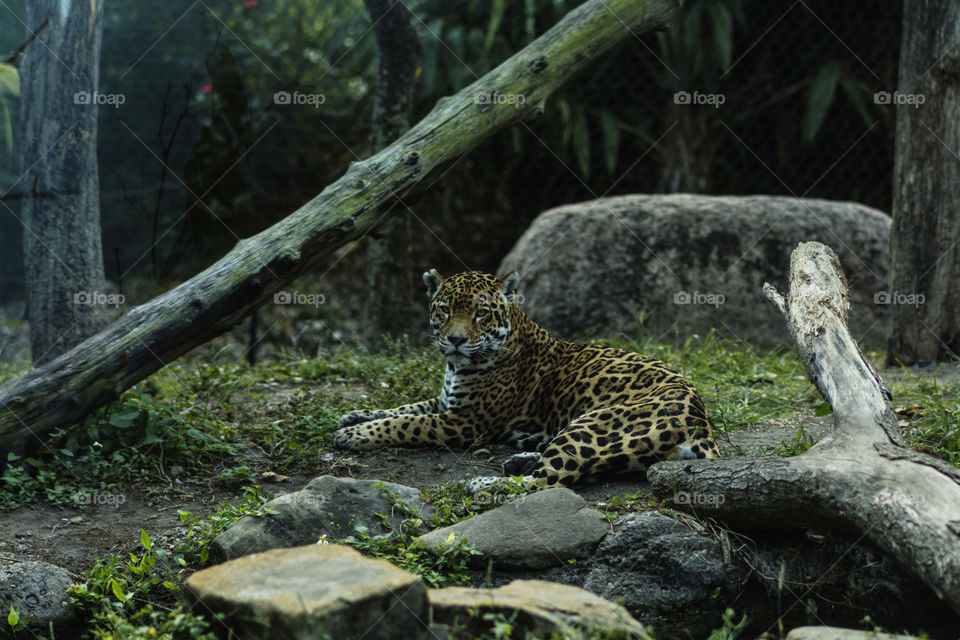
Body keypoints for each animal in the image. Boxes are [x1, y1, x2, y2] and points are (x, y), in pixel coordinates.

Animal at [334, 269, 719, 491]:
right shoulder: (445, 402)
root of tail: (700, 424)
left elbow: (406, 424)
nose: (455, 340)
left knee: (552, 480)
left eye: (480, 313)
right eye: (444, 309)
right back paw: (519, 459)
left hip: (591, 423)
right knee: (578, 470)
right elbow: (402, 408)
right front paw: (354, 417)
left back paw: (482, 482)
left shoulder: (465, 421)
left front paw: (354, 435)